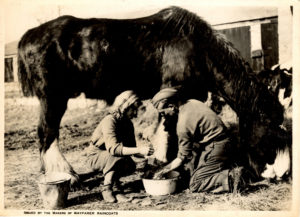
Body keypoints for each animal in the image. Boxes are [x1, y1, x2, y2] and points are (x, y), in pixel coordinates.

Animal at [18, 5, 286, 185]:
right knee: (47, 133)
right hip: (53, 97)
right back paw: (66, 174)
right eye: (272, 125)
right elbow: (166, 133)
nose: (279, 173)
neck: (198, 48)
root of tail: (28, 36)